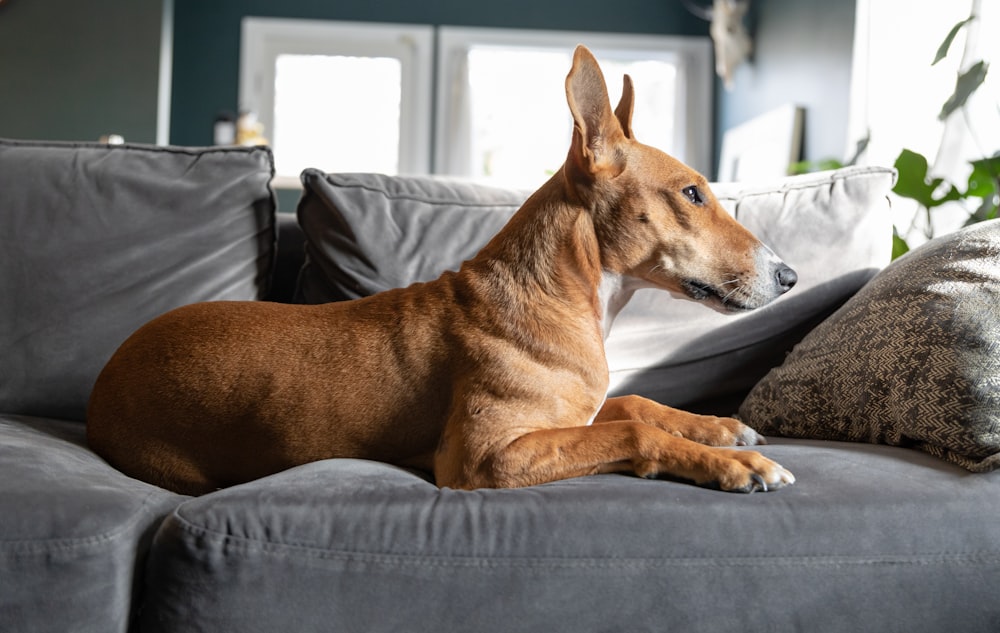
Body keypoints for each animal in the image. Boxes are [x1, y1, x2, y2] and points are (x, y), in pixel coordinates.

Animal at [90, 47, 800, 496]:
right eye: (692, 195)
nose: (790, 277)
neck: (572, 296)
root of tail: (105, 374)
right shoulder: (488, 456)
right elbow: (631, 427)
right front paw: (736, 464)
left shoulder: (574, 413)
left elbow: (634, 402)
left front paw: (719, 427)